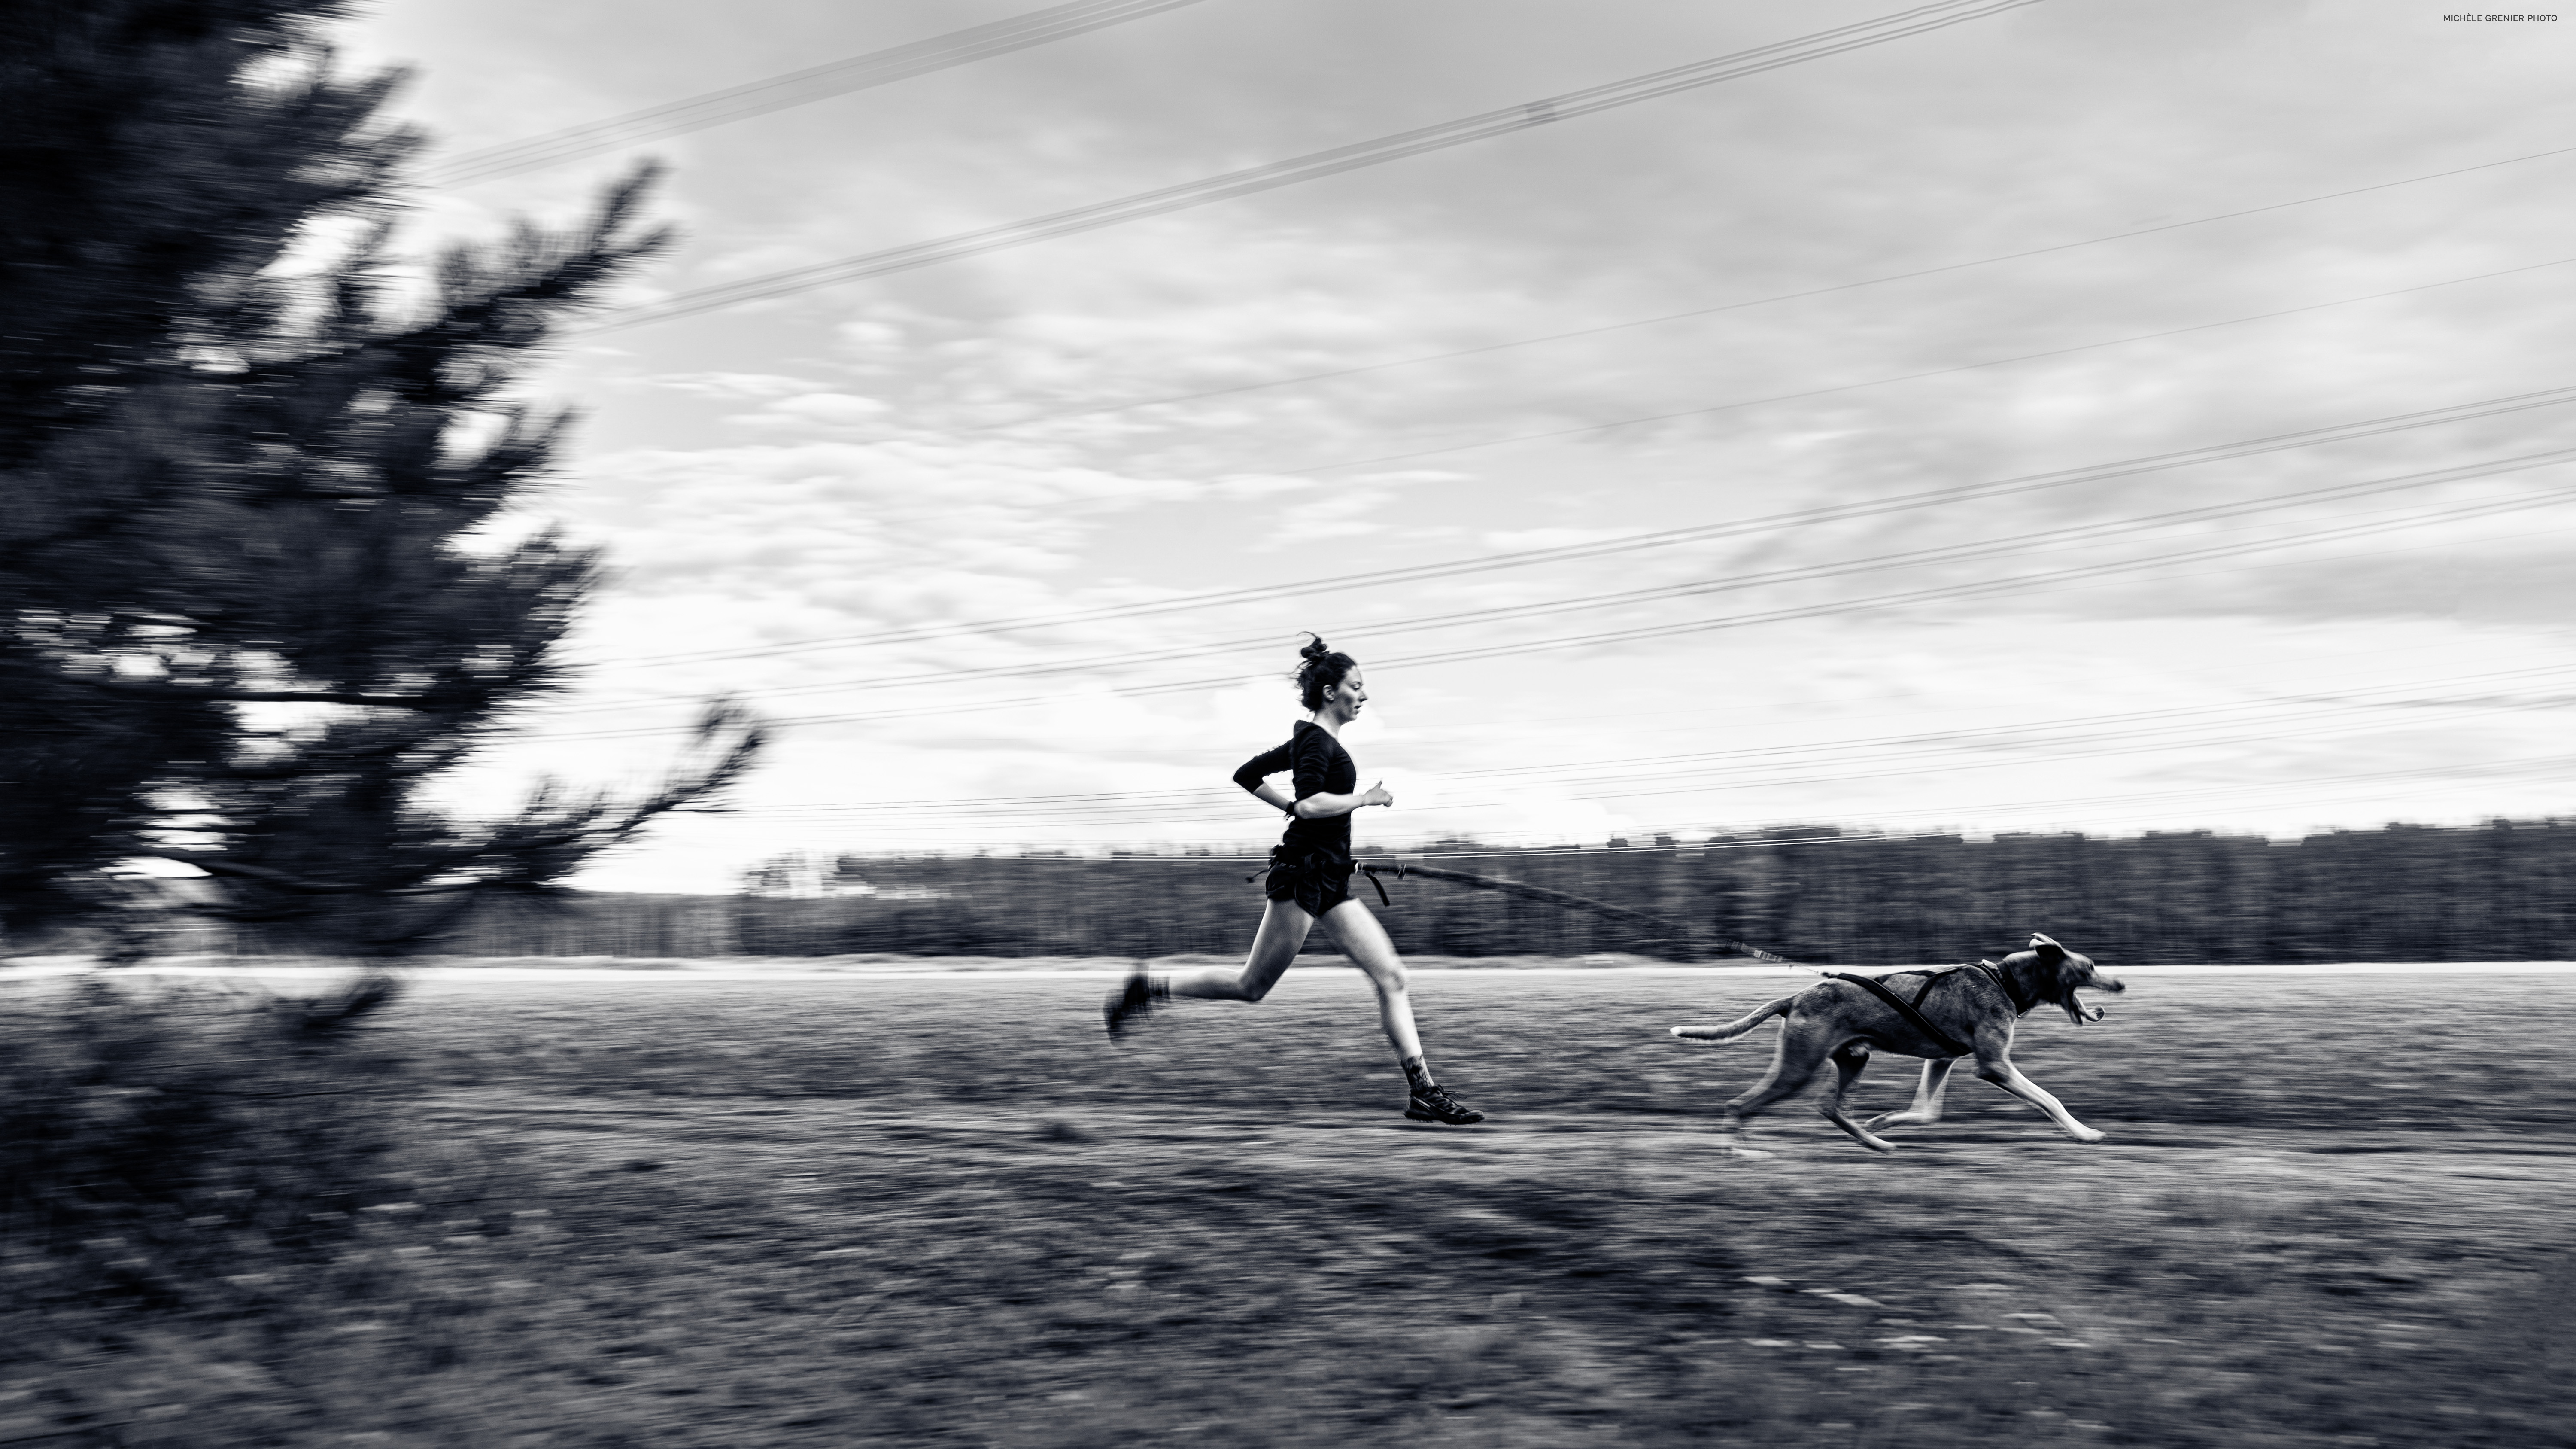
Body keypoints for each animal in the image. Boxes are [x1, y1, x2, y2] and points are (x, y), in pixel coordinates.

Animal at [1669, 938, 2133, 1150]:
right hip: (1798, 1067)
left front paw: (1884, 1121)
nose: (2122, 983)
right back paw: (1742, 1154)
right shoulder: (1994, 1066)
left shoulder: (1942, 1061)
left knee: (1830, 1106)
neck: (2004, 980)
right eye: (2091, 967)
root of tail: (1796, 998)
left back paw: (1873, 1141)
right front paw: (2084, 1132)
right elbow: (2051, 1099)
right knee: (1741, 1105)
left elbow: (1926, 1111)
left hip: (1853, 1059)